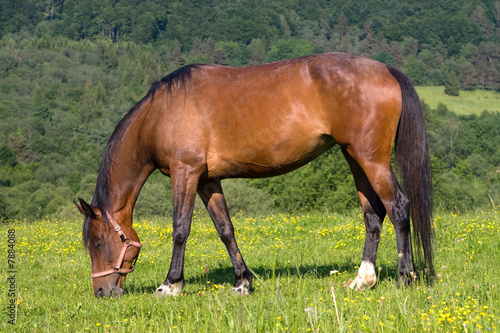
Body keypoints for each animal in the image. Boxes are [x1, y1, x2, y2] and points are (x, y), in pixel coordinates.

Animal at [74, 53, 434, 296]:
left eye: (98, 242)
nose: (102, 292)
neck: (162, 111)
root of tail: (385, 69)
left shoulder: (185, 173)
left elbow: (180, 229)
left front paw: (171, 284)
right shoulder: (207, 180)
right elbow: (225, 229)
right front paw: (242, 281)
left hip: (371, 159)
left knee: (398, 207)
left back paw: (405, 276)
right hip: (355, 157)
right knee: (373, 214)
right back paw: (364, 279)